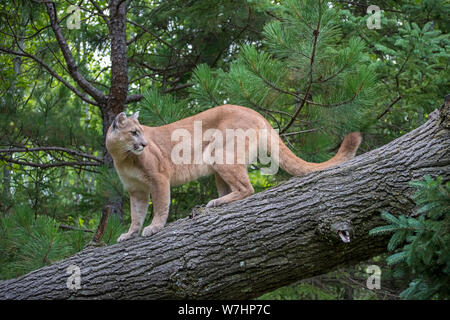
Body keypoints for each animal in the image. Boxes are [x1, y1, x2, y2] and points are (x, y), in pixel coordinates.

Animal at [103, 105, 360, 242]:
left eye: (141, 132)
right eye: (134, 132)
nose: (144, 144)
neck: (122, 156)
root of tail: (254, 111)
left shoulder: (159, 178)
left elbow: (160, 206)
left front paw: (154, 227)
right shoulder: (136, 190)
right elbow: (136, 215)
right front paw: (129, 234)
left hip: (221, 156)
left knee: (248, 188)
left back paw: (215, 202)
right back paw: (219, 201)